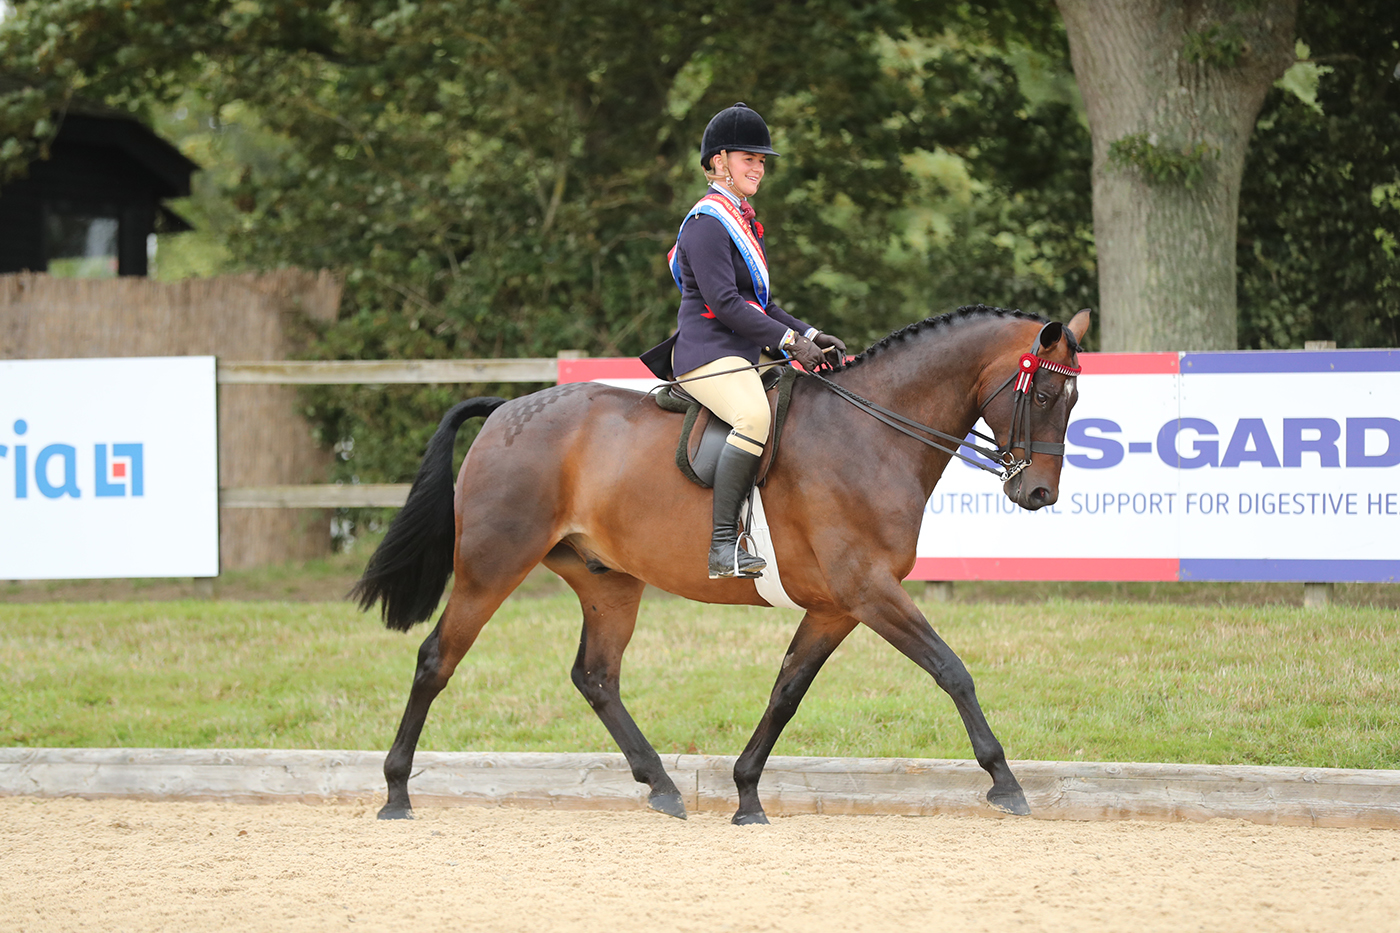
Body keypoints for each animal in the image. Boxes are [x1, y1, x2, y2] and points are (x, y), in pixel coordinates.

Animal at [353, 304, 1091, 824]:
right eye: (1044, 397)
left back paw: (662, 786)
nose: (1038, 493)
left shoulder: (835, 606)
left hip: (609, 581)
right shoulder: (869, 590)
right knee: (436, 659)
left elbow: (787, 691)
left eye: (1075, 400)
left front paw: (746, 794)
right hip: (492, 565)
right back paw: (395, 792)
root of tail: (507, 408)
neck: (872, 433)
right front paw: (1006, 782)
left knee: (596, 676)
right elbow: (951, 670)